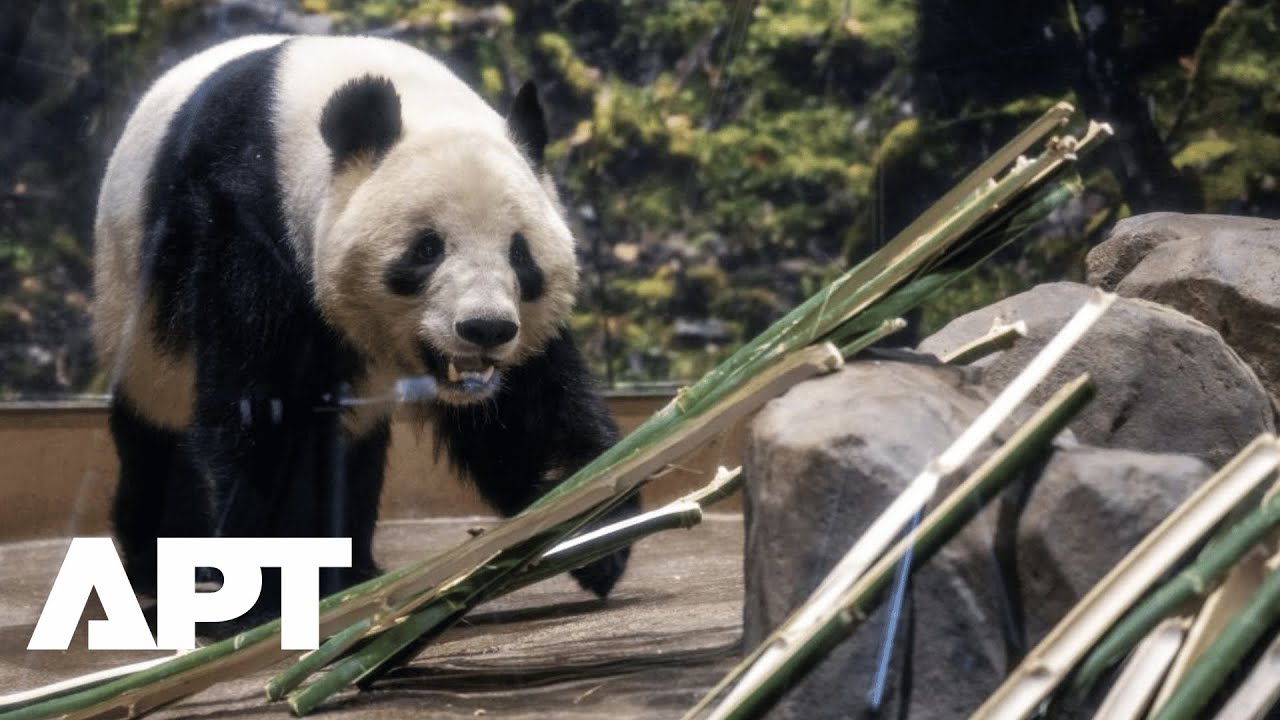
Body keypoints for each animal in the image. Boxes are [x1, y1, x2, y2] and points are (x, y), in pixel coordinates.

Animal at [91, 34, 636, 613]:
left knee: (354, 445)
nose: (484, 329)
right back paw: (159, 563)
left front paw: (594, 528)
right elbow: (260, 404)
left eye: (519, 253)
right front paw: (270, 588)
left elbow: (530, 406)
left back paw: (353, 566)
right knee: (158, 430)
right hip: (135, 306)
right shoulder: (246, 215)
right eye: (427, 249)